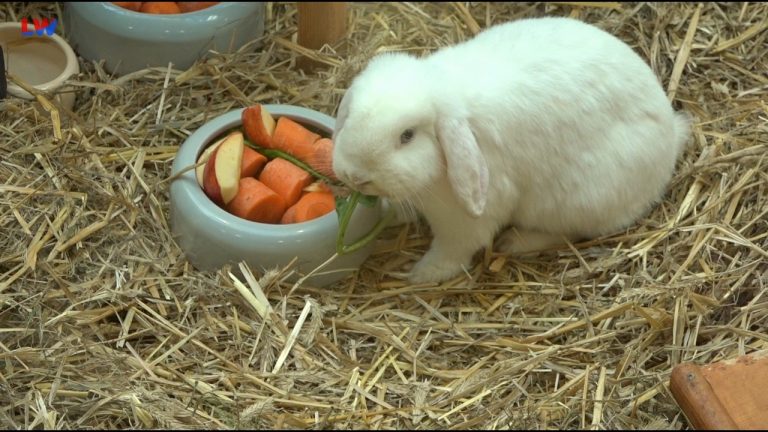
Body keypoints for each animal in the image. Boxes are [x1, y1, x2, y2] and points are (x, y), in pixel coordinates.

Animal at [332, 16, 690, 284]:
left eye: (407, 136)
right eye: (350, 117)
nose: (355, 176)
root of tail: (672, 135)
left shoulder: (464, 220)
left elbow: (454, 250)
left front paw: (422, 274)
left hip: (577, 200)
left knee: (569, 233)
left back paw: (515, 242)